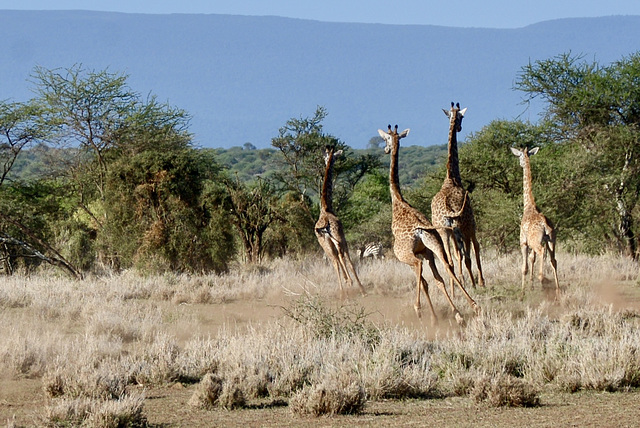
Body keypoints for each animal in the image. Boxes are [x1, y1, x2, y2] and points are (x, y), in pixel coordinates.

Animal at [314, 145, 364, 296]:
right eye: (336, 156)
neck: (326, 206)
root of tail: (325, 225)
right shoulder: (343, 237)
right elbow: (349, 259)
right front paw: (359, 287)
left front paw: (348, 282)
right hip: (338, 238)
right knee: (342, 257)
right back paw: (355, 285)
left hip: (324, 244)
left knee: (335, 261)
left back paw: (343, 291)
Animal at [378, 124, 478, 324]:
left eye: (385, 140)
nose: (385, 150)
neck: (397, 200)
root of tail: (420, 229)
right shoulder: (427, 252)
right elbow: (437, 280)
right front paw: (449, 314)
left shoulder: (417, 255)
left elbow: (424, 282)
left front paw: (433, 317)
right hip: (435, 243)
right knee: (447, 265)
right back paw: (472, 306)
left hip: (404, 254)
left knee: (419, 267)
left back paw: (418, 309)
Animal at [430, 103, 484, 292]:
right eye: (462, 117)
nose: (459, 127)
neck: (452, 178)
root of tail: (447, 210)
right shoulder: (471, 224)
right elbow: (475, 249)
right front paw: (481, 282)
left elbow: (457, 256)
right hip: (460, 228)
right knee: (466, 255)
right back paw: (473, 285)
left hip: (444, 231)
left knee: (450, 260)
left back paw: (455, 290)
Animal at [512, 145, 556, 300]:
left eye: (519, 156)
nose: (520, 164)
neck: (529, 206)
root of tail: (545, 224)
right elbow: (532, 259)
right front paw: (530, 288)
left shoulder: (523, 242)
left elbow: (524, 267)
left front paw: (522, 293)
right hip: (552, 240)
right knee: (554, 260)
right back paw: (557, 291)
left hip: (536, 242)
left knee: (542, 252)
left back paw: (541, 280)